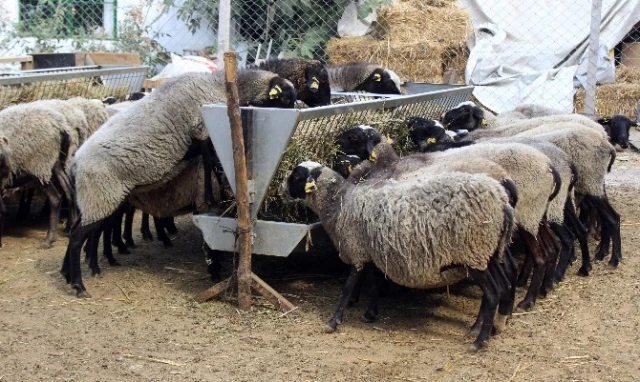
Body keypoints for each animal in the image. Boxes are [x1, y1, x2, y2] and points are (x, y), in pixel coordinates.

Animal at [0, 103, 75, 248]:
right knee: (69, 192)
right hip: (55, 163)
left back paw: (49, 239)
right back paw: (70, 228)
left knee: (55, 198)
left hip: (39, 165)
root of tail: (59, 125)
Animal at [60, 68, 296, 298]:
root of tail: (75, 163)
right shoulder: (201, 128)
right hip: (100, 197)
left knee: (81, 230)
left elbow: (209, 160)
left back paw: (69, 274)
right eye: (285, 98)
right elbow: (209, 161)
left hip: (94, 199)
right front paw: (211, 196)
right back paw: (79, 285)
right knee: (77, 238)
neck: (218, 84)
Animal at [288, 160, 516, 350]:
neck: (340, 204)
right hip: (488, 252)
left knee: (492, 293)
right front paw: (370, 313)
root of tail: (503, 202)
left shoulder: (357, 250)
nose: (284, 189)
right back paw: (488, 327)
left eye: (297, 176)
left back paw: (479, 341)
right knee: (502, 286)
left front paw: (333, 322)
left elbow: (347, 288)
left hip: (473, 252)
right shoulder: (372, 252)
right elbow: (375, 283)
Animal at [340, 127, 560, 312]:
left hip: (515, 220)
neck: (388, 164)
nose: (337, 144)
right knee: (546, 250)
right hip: (532, 217)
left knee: (534, 258)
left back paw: (525, 302)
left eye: (354, 137)